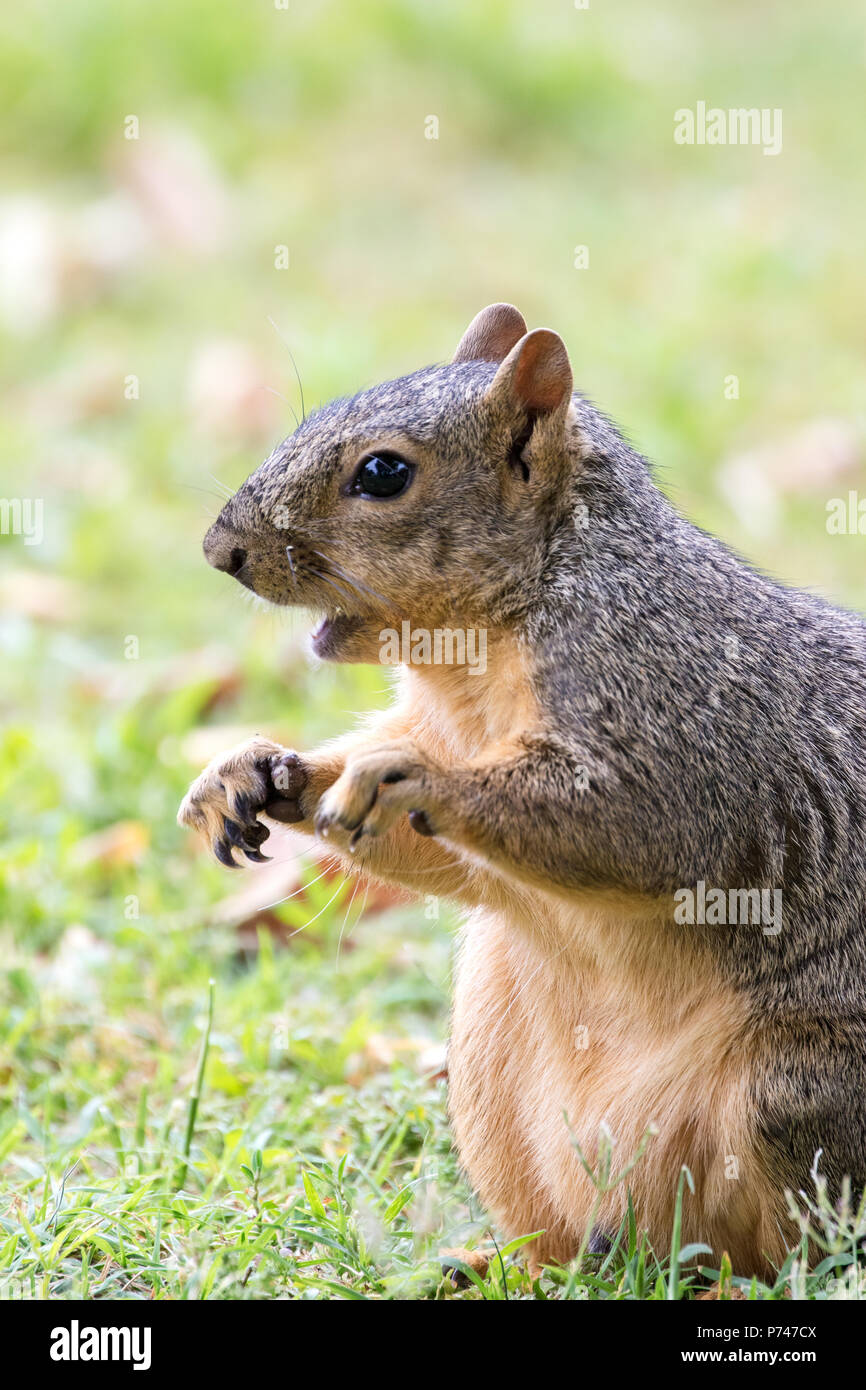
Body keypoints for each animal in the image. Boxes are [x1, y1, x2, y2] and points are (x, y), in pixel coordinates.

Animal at [179, 301, 866, 1273]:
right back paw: (501, 1264)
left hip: (794, 1091)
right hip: (491, 1074)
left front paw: (405, 775)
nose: (220, 551)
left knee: (793, 1246)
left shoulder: (674, 711)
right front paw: (256, 772)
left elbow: (636, 825)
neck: (475, 664)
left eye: (383, 473)